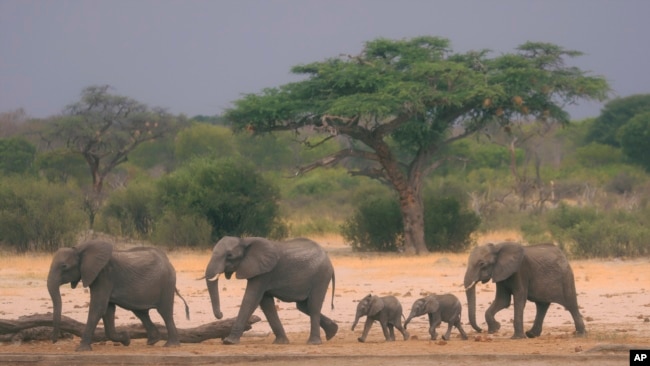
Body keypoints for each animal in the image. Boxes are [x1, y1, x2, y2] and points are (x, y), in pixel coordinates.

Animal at [46, 240, 189, 352]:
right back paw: (152, 341)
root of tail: (168, 261)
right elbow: (107, 310)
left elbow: (98, 308)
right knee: (141, 312)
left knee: (165, 312)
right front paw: (126, 339)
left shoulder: (104, 276)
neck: (80, 249)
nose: (54, 341)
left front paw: (81, 350)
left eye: (64, 266)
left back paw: (171, 345)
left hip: (167, 284)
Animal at [206, 236, 340, 344]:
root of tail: (329, 261)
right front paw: (281, 342)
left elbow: (251, 299)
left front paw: (229, 342)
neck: (245, 241)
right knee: (303, 306)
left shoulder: (264, 273)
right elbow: (266, 304)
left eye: (229, 256)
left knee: (313, 305)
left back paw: (313, 343)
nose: (221, 314)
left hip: (321, 276)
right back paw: (332, 332)